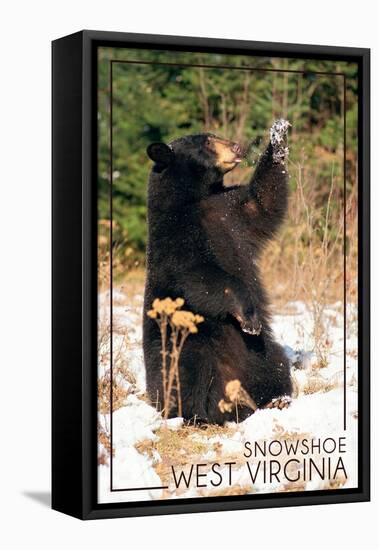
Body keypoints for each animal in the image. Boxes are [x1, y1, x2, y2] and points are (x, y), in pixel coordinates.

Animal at [142, 118, 294, 424]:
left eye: (214, 135)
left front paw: (278, 133)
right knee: (187, 371)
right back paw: (194, 414)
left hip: (260, 353)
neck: (198, 198)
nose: (237, 146)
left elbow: (263, 200)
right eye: (207, 142)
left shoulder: (232, 211)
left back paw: (275, 399)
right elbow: (202, 278)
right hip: (184, 340)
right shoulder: (176, 238)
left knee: (275, 365)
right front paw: (249, 316)